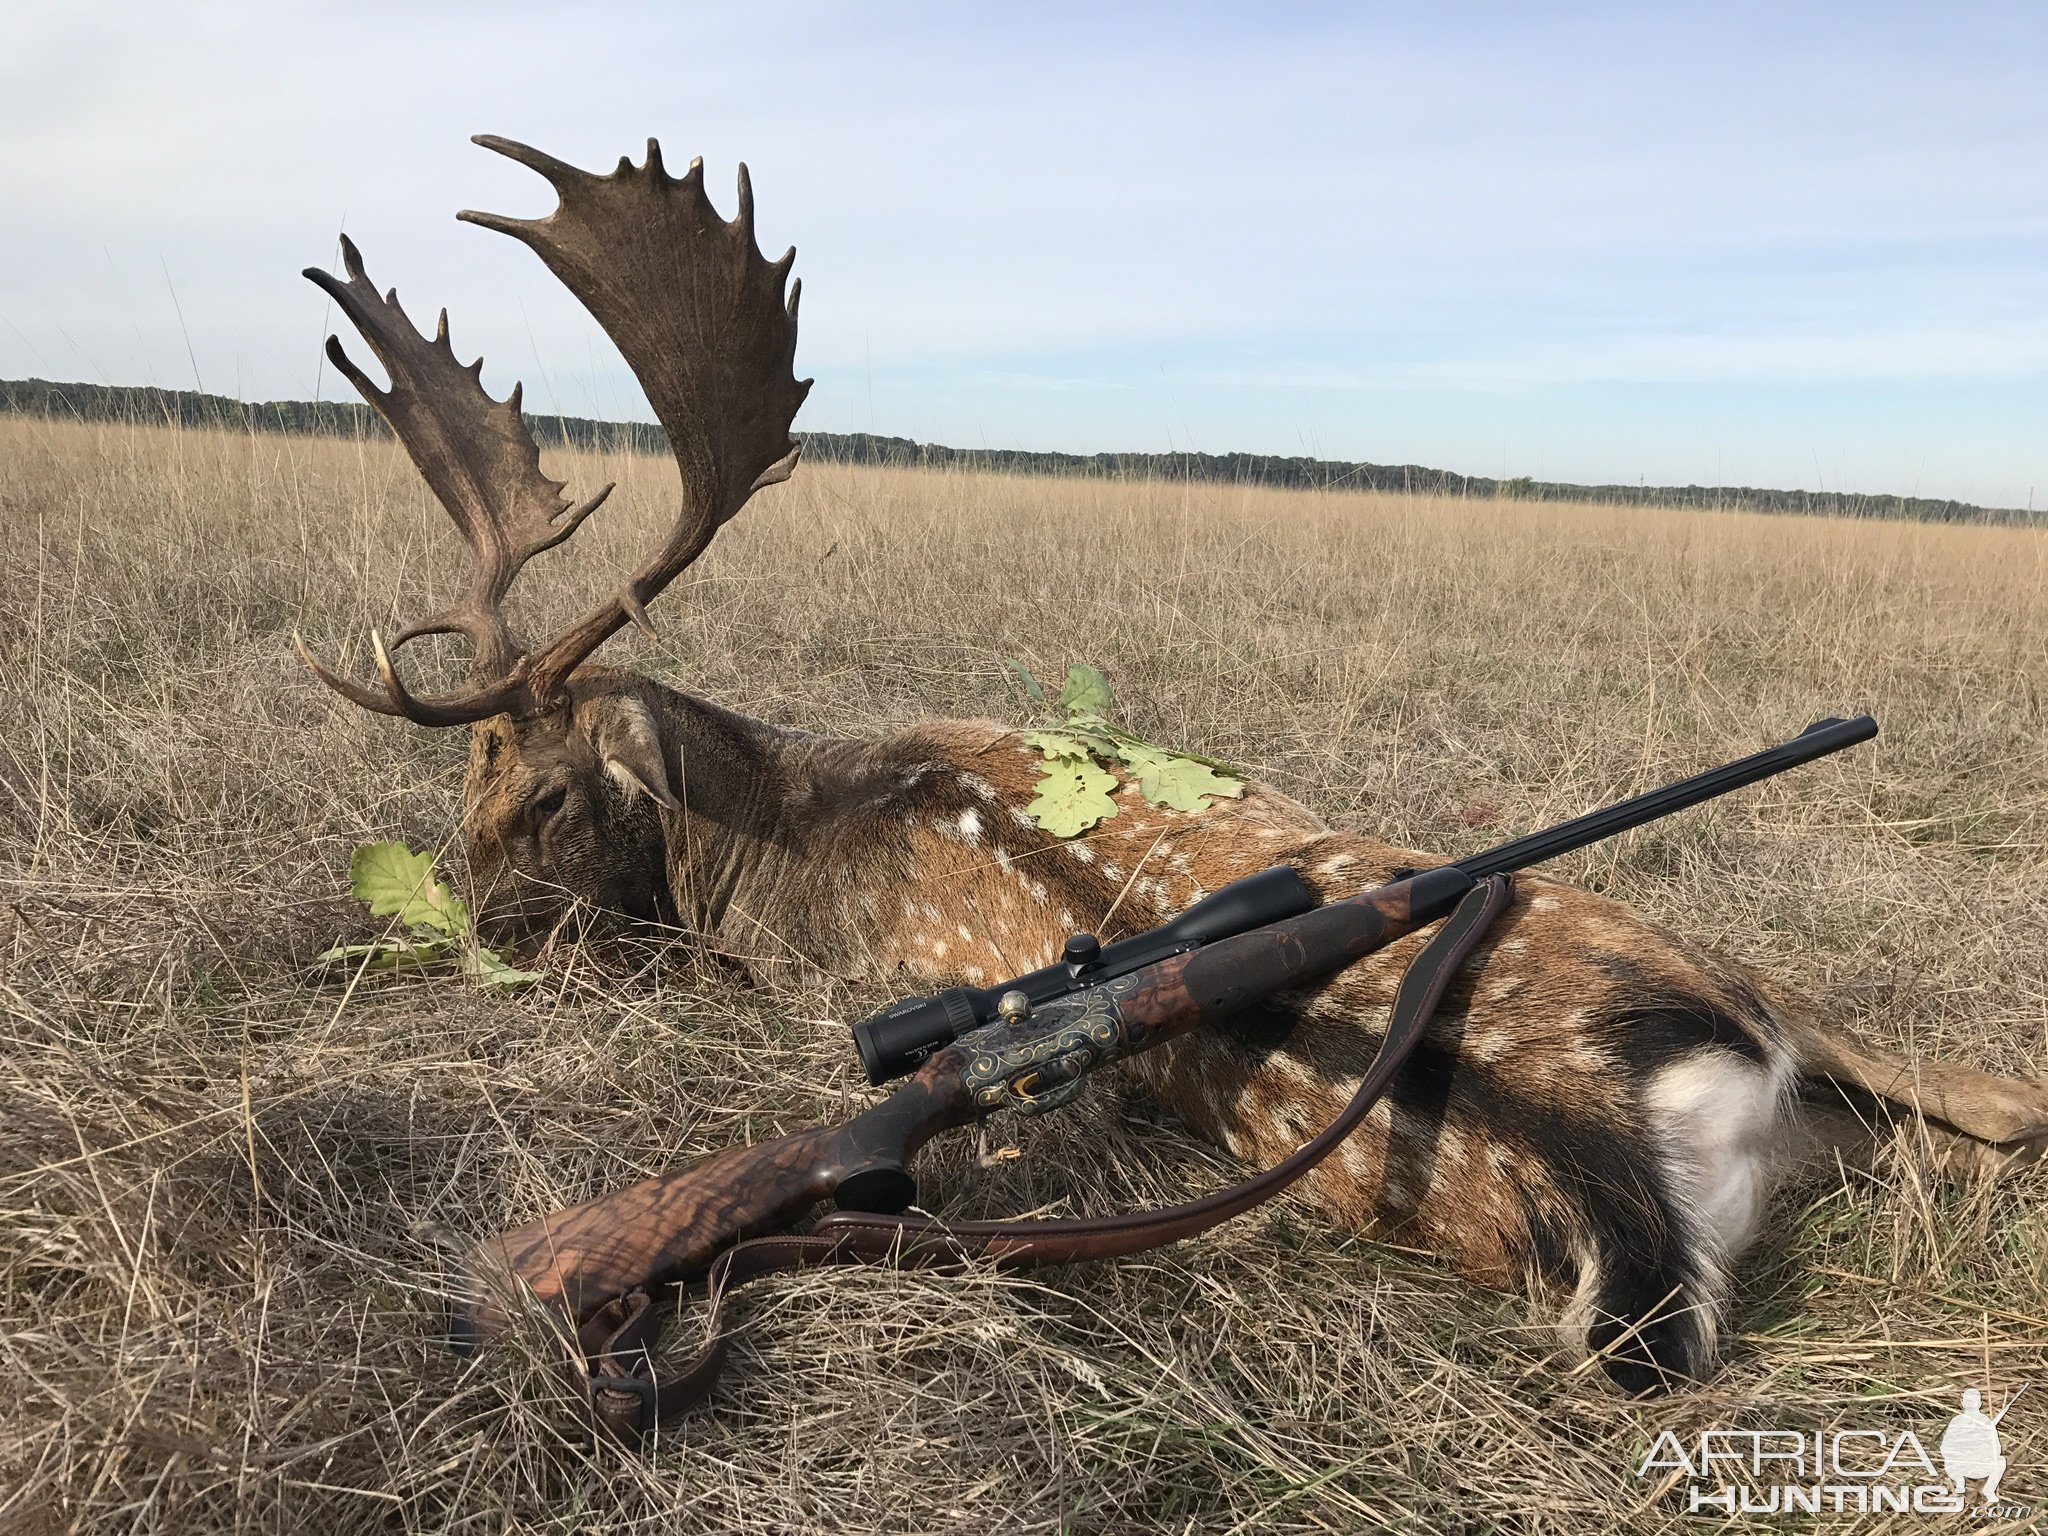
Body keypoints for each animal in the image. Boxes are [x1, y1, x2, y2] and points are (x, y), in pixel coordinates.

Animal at [296, 138, 2048, 1400]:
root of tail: (1647, 1169)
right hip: (1743, 991)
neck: (780, 831)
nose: (469, 931)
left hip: (1726, 966)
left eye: (541, 794)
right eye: (460, 793)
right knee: (1993, 1111)